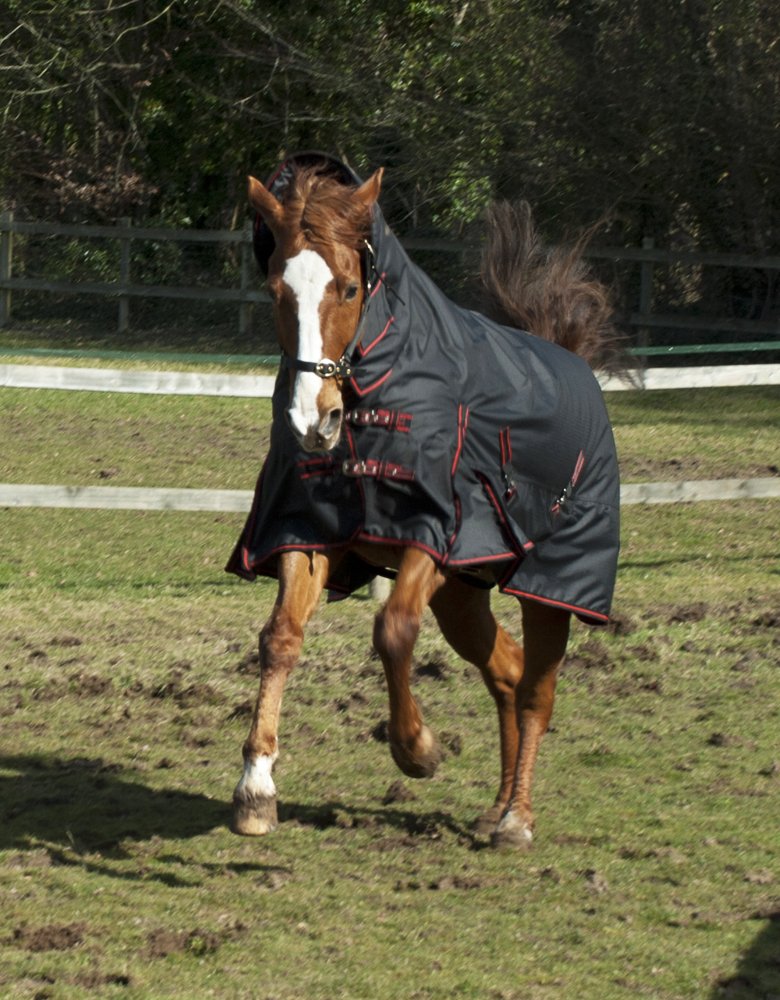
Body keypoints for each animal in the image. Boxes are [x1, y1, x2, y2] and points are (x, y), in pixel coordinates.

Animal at [227, 152, 621, 849]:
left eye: (349, 290)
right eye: (277, 291)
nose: (312, 420)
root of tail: (573, 363)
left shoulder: (433, 535)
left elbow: (392, 631)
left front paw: (418, 749)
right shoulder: (310, 531)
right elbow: (280, 639)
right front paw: (255, 788)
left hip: (551, 588)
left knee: (536, 691)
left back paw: (516, 819)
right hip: (465, 594)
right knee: (508, 672)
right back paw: (496, 807)